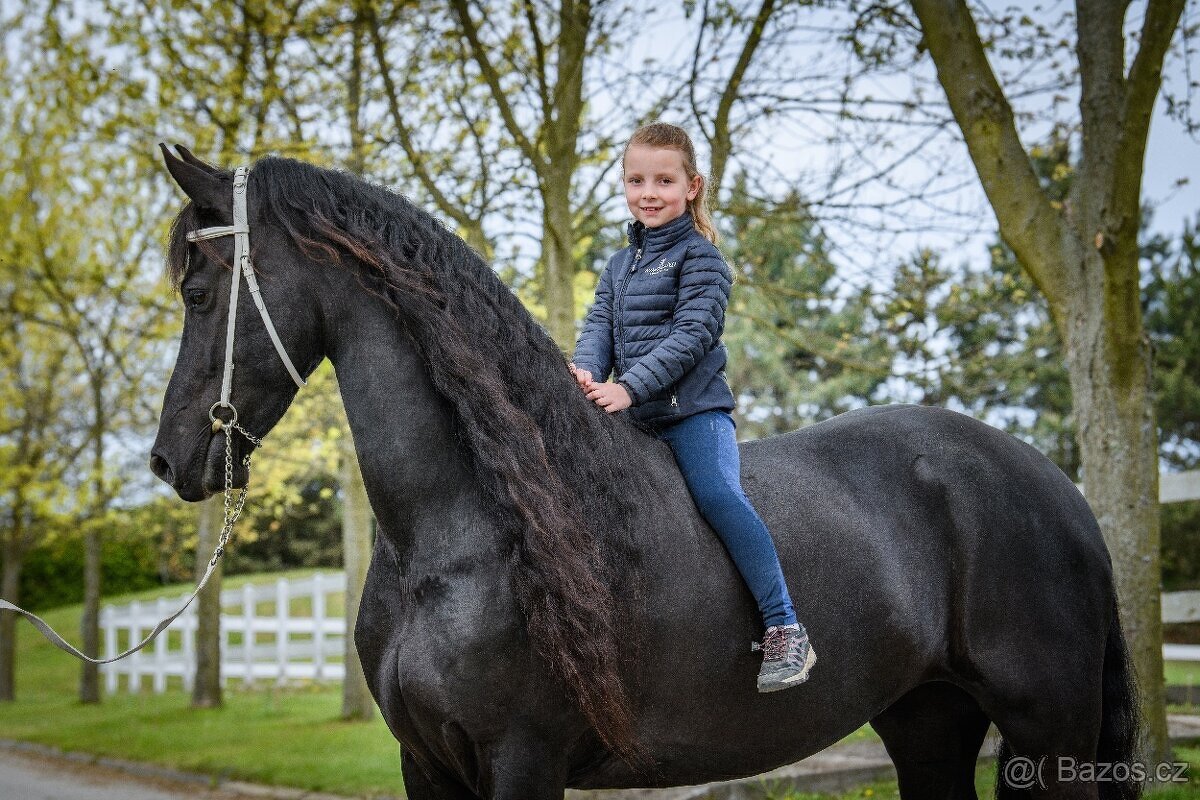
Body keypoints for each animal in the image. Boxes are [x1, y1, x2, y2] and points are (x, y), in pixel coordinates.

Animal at [152, 145, 1142, 800]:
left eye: (198, 292)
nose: (170, 459)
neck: (468, 533)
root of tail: (1058, 489)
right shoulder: (426, 765)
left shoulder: (521, 760)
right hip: (928, 723)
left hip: (1046, 735)